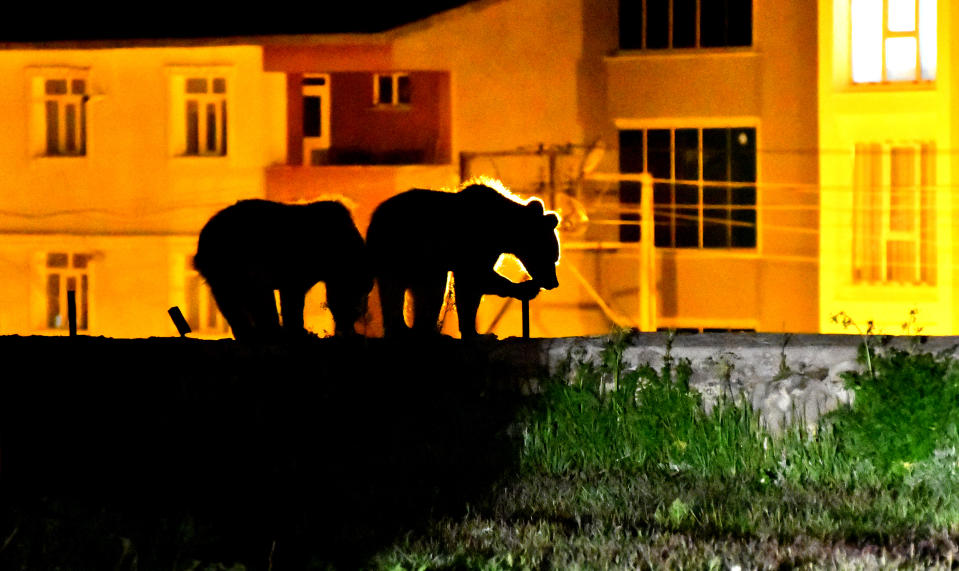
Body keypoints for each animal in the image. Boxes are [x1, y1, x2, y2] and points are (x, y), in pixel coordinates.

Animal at [194, 199, 372, 342]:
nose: (352, 324)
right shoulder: (297, 268)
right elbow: (292, 300)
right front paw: (298, 332)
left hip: (222, 271)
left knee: (230, 301)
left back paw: (249, 334)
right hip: (239, 258)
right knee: (256, 294)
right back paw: (270, 333)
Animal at [368, 181, 564, 338]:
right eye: (553, 257)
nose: (554, 282)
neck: (502, 231)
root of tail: (374, 219)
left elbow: (469, 290)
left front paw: (474, 331)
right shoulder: (472, 245)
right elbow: (474, 276)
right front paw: (526, 288)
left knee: (398, 290)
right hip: (406, 252)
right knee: (426, 287)